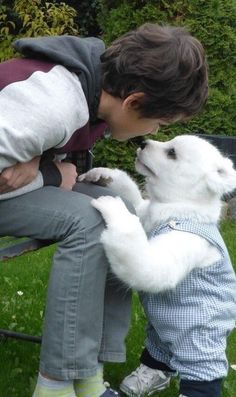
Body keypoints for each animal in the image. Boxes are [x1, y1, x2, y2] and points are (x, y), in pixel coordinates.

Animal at [80, 135, 236, 394]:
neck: (181, 209)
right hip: (161, 336)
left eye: (172, 153)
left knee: (202, 374)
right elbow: (133, 196)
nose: (142, 142)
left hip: (197, 342)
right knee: (160, 353)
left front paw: (113, 206)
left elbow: (148, 266)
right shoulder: (145, 213)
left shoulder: (177, 250)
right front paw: (103, 175)